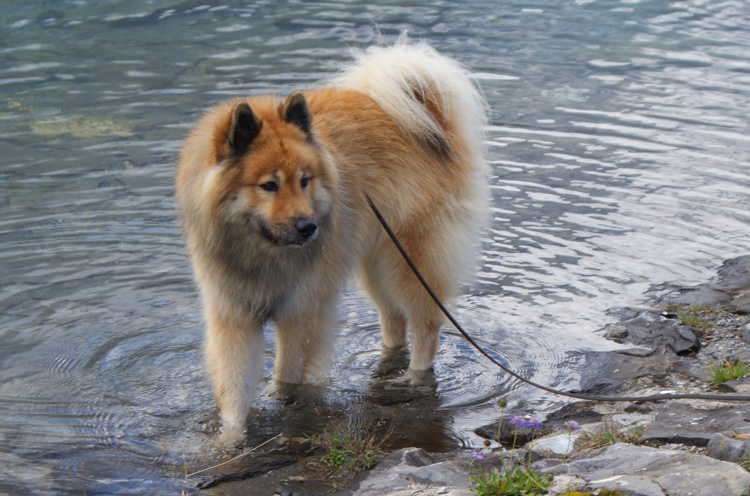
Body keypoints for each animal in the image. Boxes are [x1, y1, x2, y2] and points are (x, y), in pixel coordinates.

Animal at [178, 40, 494, 440]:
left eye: (304, 180)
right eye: (269, 185)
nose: (308, 227)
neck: (262, 252)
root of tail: (428, 118)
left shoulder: (300, 312)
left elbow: (287, 374)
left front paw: (283, 405)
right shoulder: (233, 317)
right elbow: (233, 389)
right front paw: (231, 440)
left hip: (408, 261)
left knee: (425, 325)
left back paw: (412, 378)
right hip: (375, 263)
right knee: (394, 320)